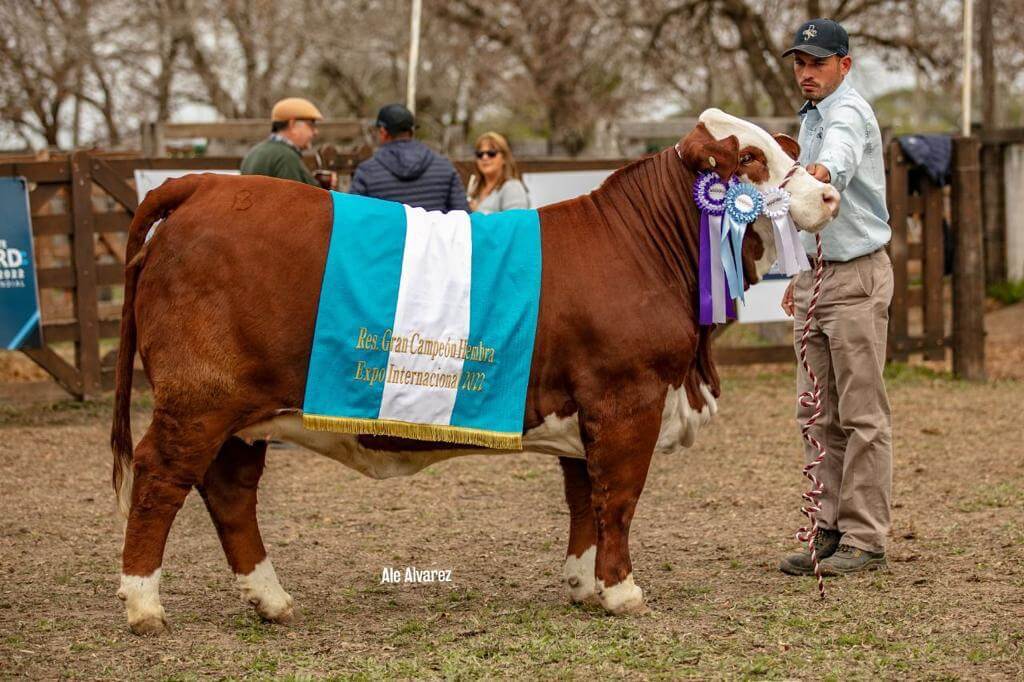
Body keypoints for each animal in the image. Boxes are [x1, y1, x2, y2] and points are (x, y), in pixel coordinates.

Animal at [112, 109, 839, 634]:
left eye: (787, 150)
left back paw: (270, 599)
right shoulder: (626, 398)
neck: (641, 250)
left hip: (242, 415)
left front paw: (583, 585)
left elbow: (585, 499)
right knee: (160, 477)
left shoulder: (584, 410)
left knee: (230, 492)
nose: (828, 192)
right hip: (197, 399)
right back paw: (145, 605)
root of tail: (205, 184)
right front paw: (622, 591)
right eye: (749, 159)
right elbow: (619, 498)